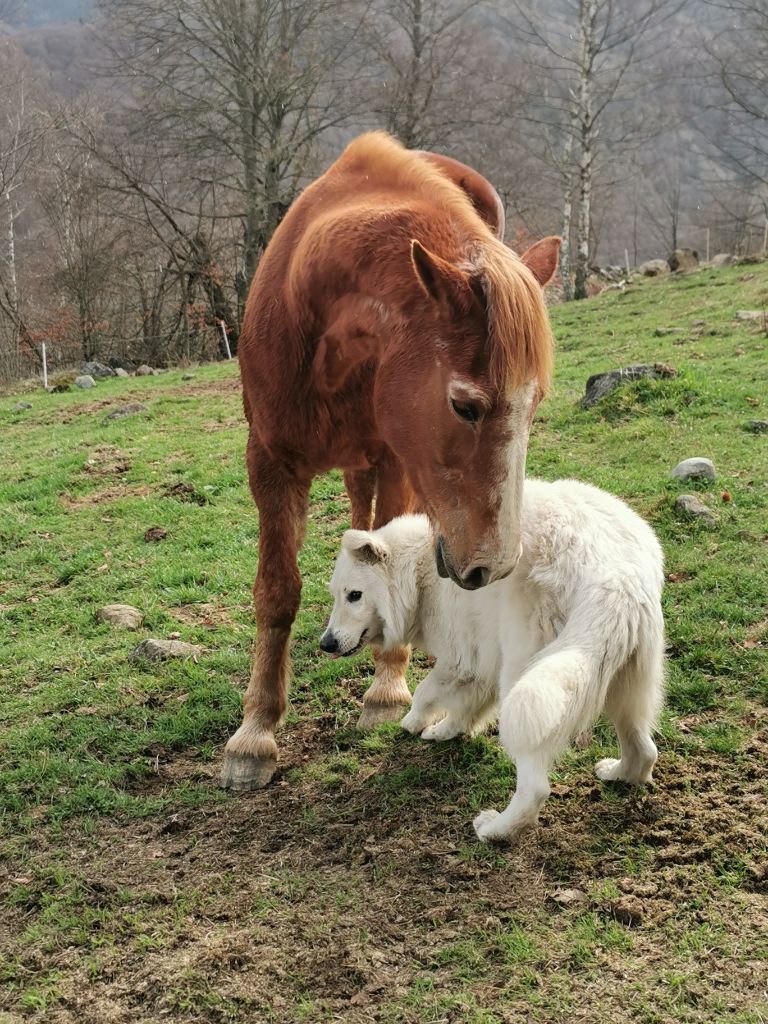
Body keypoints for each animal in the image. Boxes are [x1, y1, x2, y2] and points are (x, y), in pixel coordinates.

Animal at [222, 134, 561, 790]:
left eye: (537, 403)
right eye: (464, 405)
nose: (494, 565)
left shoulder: (397, 459)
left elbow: (389, 558)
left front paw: (385, 688)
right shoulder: (270, 463)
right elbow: (276, 591)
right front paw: (255, 735)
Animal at [321, 475, 663, 843]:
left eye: (354, 596)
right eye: (338, 595)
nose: (326, 644)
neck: (418, 573)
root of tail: (617, 574)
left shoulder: (460, 659)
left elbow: (426, 692)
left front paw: (413, 722)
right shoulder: (481, 661)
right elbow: (465, 709)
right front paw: (444, 731)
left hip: (526, 685)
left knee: (535, 787)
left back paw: (497, 829)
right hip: (616, 679)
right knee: (645, 750)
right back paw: (619, 774)